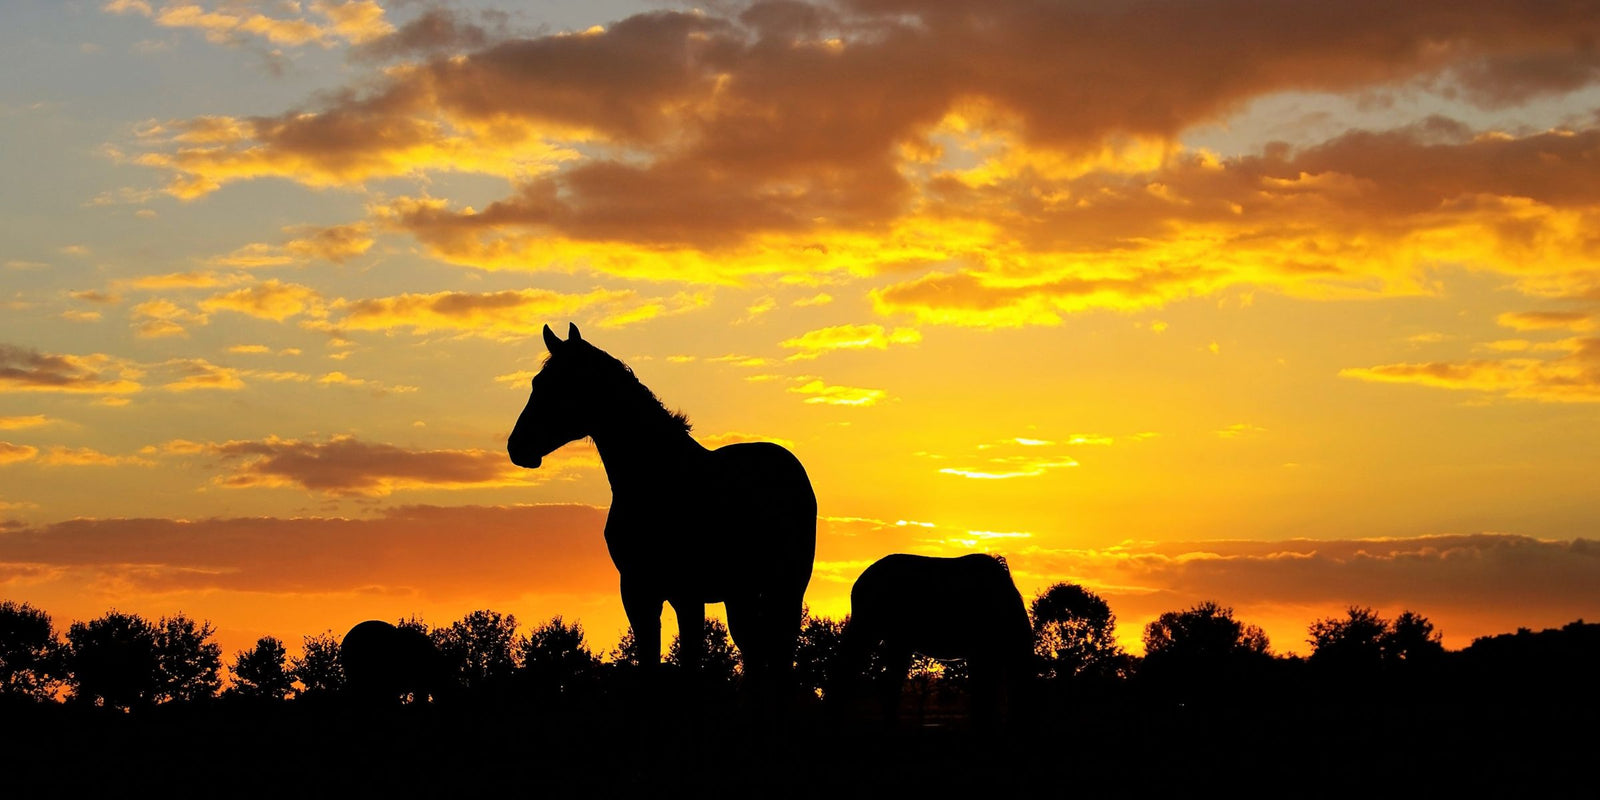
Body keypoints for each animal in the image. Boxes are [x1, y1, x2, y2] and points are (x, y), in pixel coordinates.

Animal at [508, 324, 819, 700]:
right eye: (537, 382)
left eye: (561, 383)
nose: (517, 447)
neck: (660, 476)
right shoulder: (638, 592)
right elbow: (649, 666)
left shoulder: (688, 595)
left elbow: (690, 667)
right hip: (740, 595)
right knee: (755, 653)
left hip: (787, 588)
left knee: (780, 653)